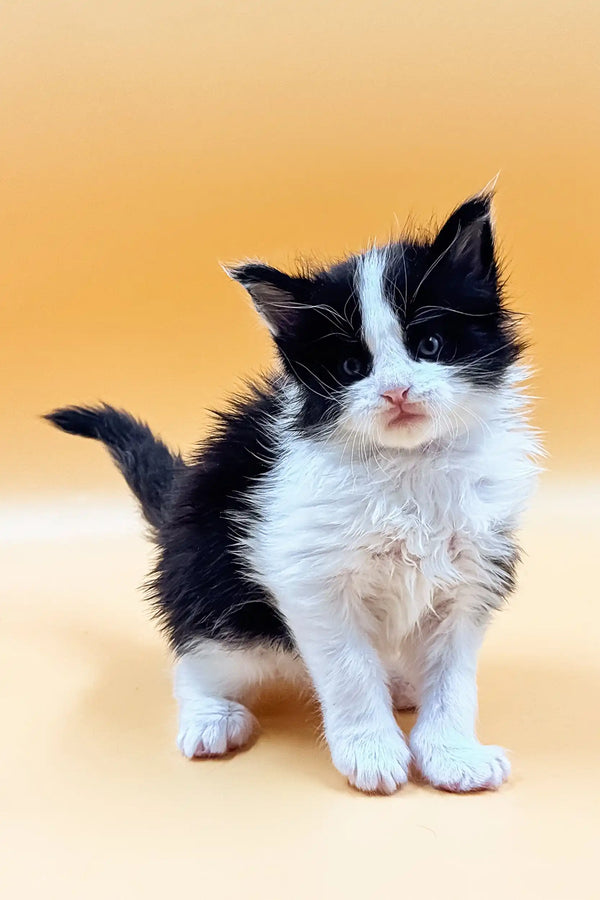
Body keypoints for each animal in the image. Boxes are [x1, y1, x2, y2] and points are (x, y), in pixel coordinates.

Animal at [45, 190, 540, 796]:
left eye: (429, 344)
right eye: (352, 366)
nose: (396, 391)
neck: (407, 470)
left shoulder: (474, 569)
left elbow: (453, 676)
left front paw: (452, 754)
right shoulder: (305, 573)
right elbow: (348, 670)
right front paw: (372, 751)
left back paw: (401, 682)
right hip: (222, 599)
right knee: (193, 658)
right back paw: (211, 716)